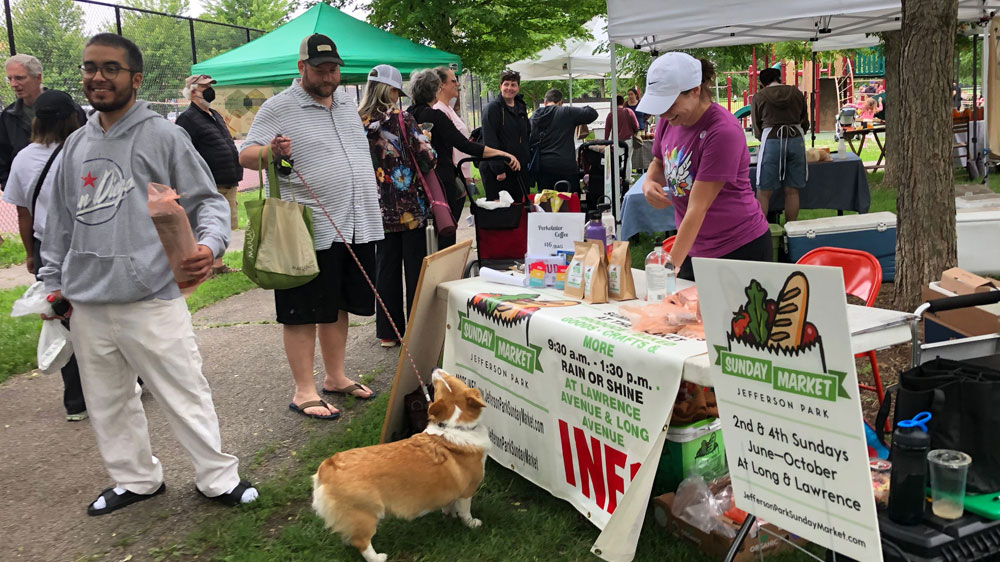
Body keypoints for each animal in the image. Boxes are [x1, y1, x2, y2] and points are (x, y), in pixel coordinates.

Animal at [308, 368, 488, 560]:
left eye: (451, 380)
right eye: (441, 385)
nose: (436, 369)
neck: (454, 425)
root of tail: (328, 468)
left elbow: (449, 505)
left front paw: (449, 514)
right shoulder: (467, 492)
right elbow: (465, 511)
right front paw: (472, 523)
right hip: (365, 515)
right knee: (362, 543)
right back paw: (378, 557)